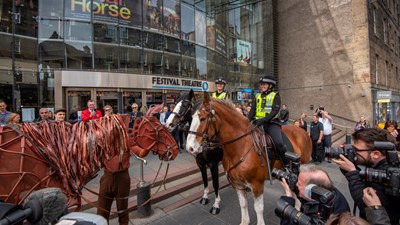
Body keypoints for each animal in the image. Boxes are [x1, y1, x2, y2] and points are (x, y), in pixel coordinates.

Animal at [186, 92, 310, 225]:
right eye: (191, 117)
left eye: (203, 119)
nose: (189, 148)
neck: (240, 146)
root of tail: (303, 131)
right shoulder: (237, 184)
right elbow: (243, 204)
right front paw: (245, 221)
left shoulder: (257, 185)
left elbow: (258, 208)